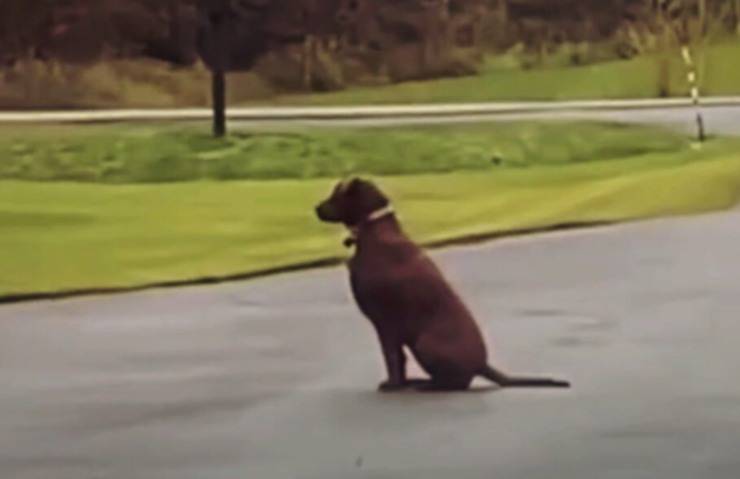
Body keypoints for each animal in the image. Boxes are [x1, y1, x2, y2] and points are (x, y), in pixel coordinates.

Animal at [316, 178, 568, 392]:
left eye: (336, 194)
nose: (316, 208)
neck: (372, 229)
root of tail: (481, 364)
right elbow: (399, 359)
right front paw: (399, 383)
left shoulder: (385, 322)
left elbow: (392, 358)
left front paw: (393, 385)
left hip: (424, 342)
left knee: (455, 382)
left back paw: (424, 385)